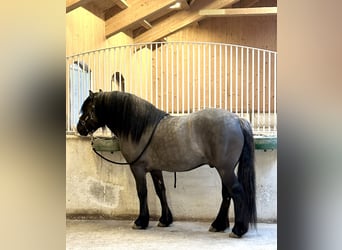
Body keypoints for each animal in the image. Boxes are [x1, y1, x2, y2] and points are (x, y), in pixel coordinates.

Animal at [76, 90, 255, 238]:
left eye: (88, 110)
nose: (79, 128)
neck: (141, 129)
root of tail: (237, 120)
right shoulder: (155, 169)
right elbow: (160, 190)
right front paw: (165, 220)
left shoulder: (137, 168)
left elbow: (142, 192)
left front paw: (141, 221)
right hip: (225, 169)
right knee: (226, 194)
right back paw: (218, 225)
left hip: (225, 169)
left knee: (237, 193)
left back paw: (238, 230)